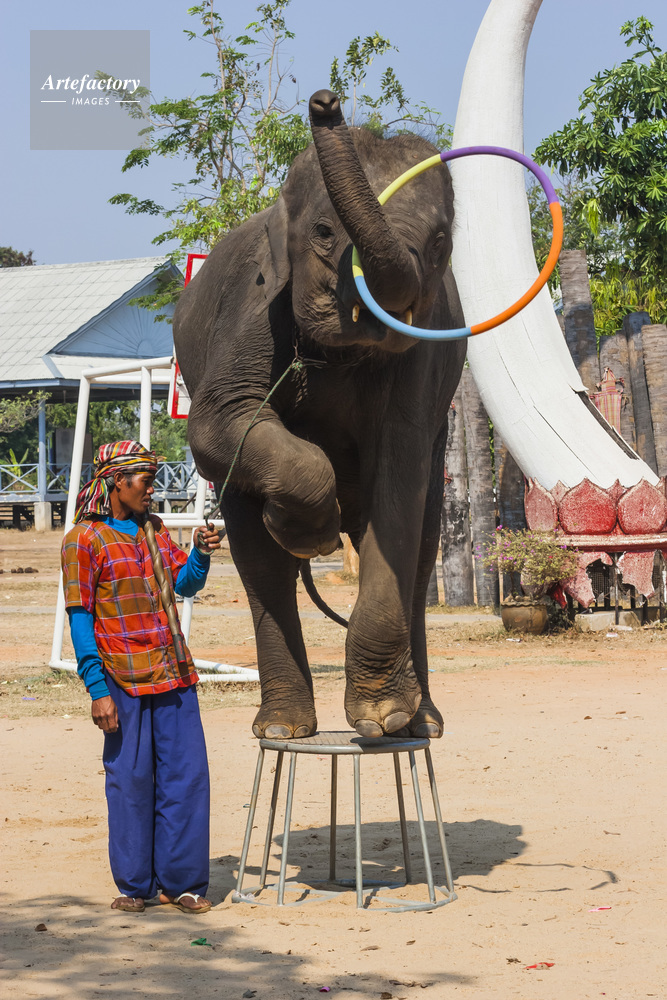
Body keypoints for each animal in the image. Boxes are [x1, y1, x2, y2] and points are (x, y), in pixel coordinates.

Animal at [173, 90, 467, 740]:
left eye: (440, 243)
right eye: (325, 232)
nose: (325, 102)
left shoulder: (423, 352)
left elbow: (400, 473)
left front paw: (383, 717)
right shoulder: (255, 305)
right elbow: (216, 421)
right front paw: (306, 530)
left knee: (422, 550)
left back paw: (422, 724)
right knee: (260, 564)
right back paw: (282, 729)